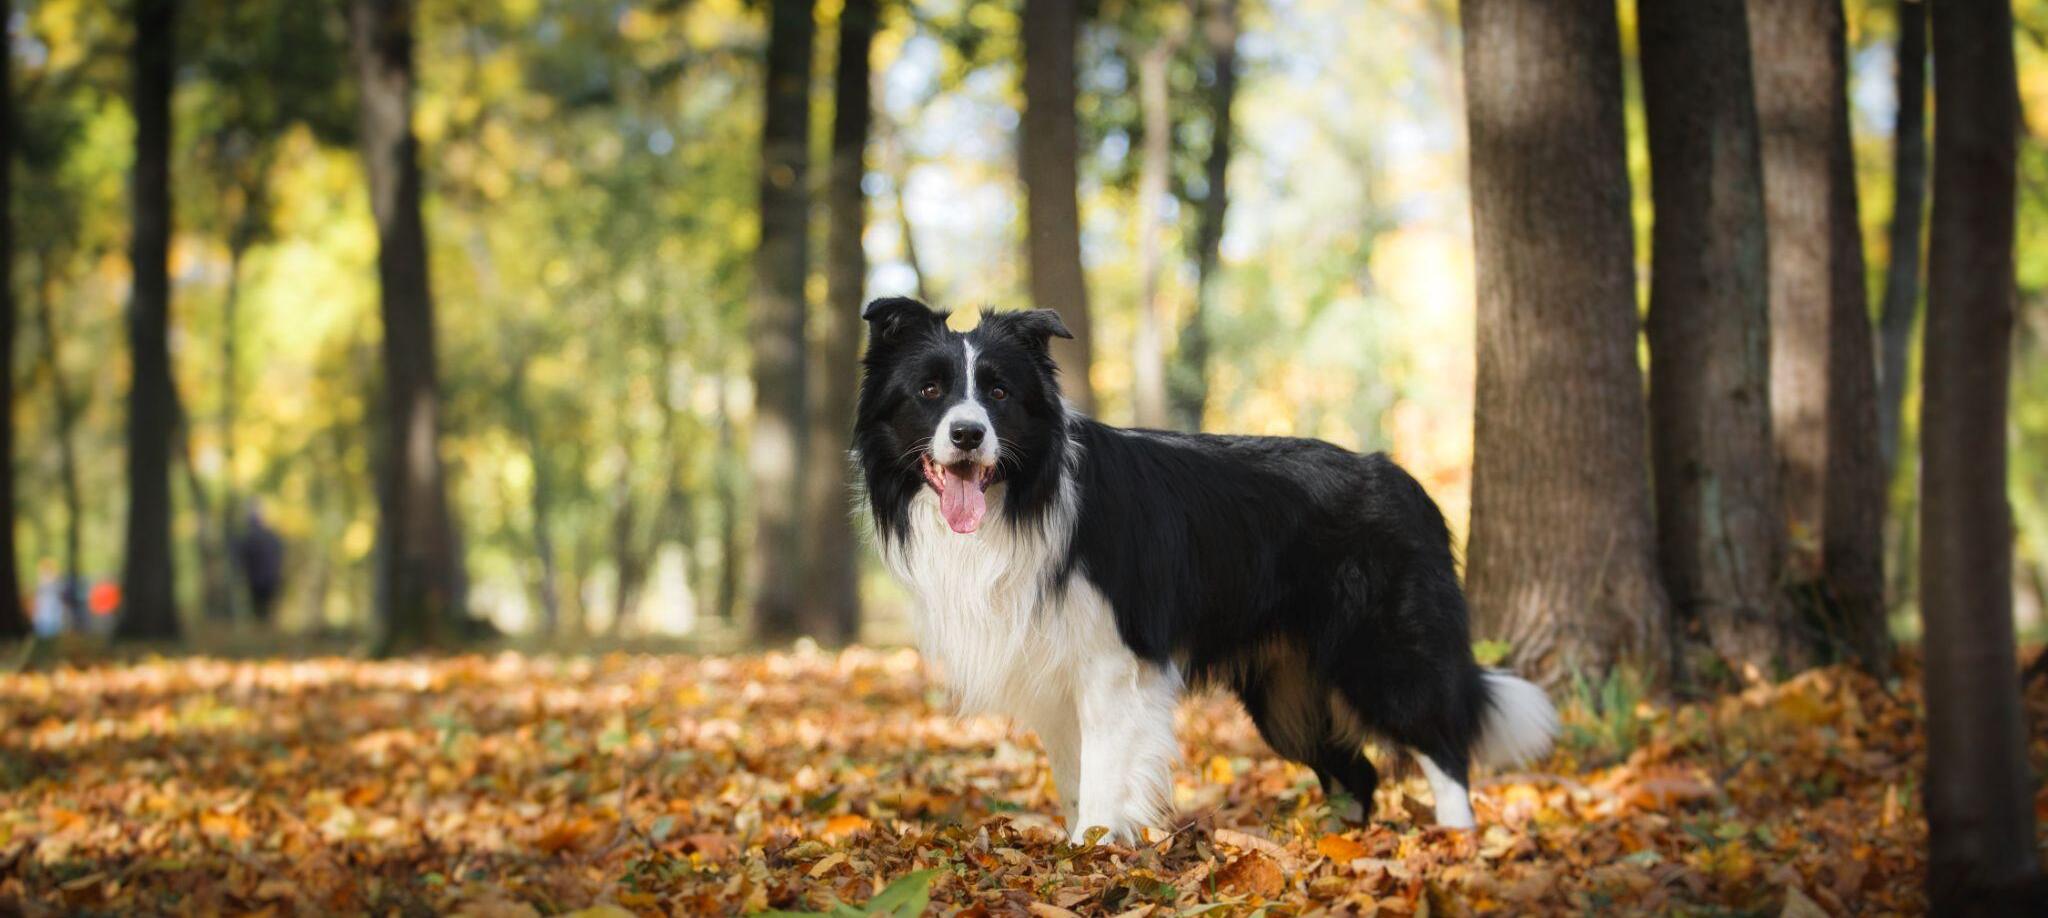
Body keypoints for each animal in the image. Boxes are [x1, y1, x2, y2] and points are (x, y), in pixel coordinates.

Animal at [856, 297, 1556, 844]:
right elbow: (1075, 780)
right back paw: (1336, 852)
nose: (968, 435)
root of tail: (1403, 480)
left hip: (1383, 653)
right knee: (1358, 773)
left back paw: (1456, 843)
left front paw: (1090, 855)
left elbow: (1104, 779)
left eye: (999, 393)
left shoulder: (1112, 665)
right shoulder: (1053, 673)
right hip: (1286, 694)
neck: (1024, 497)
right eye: (930, 392)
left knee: (1443, 747)